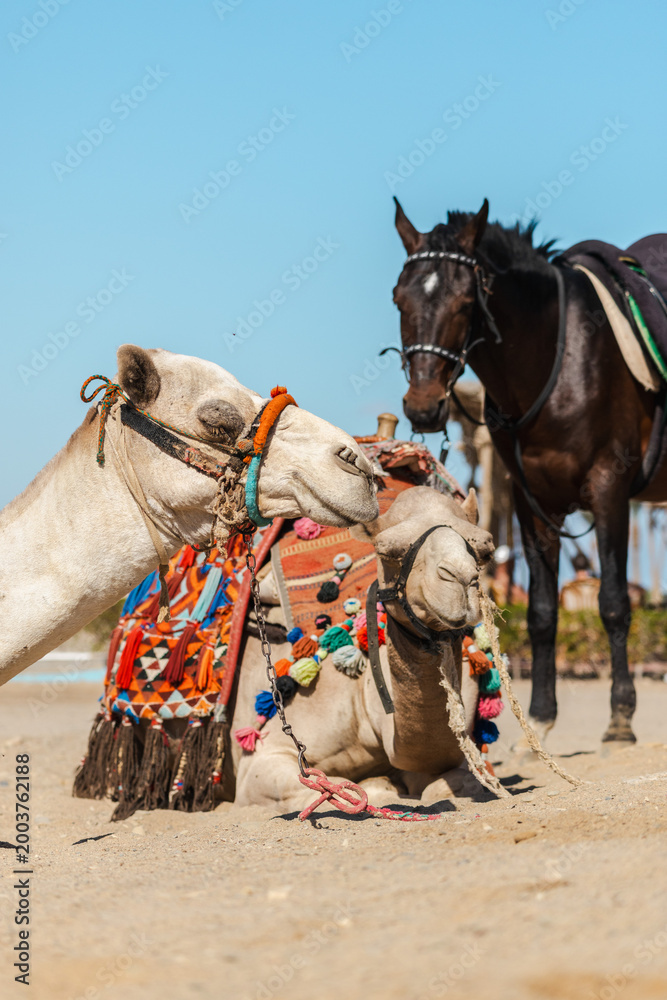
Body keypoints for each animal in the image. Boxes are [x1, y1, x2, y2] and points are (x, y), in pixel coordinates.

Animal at [389, 197, 667, 743]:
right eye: (399, 300)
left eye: (465, 303)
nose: (423, 406)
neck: (562, 360)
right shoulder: (530, 501)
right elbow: (540, 612)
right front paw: (541, 715)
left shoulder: (609, 490)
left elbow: (613, 602)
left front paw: (621, 716)